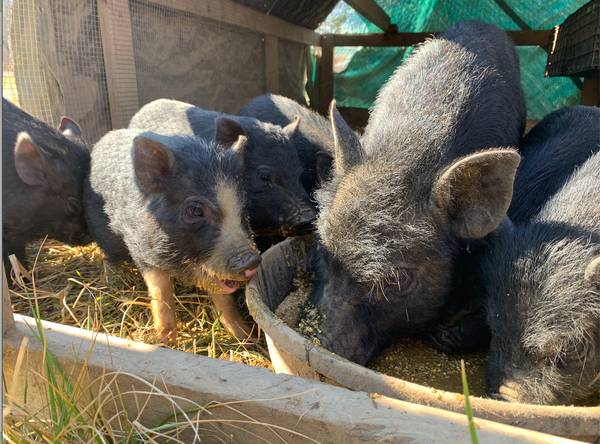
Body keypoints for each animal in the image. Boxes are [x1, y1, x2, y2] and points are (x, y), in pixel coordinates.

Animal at [84, 130, 260, 342]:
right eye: (195, 210)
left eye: (243, 208)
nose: (252, 261)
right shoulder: (141, 250)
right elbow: (161, 292)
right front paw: (163, 341)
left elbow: (223, 297)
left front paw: (246, 337)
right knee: (109, 257)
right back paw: (111, 283)